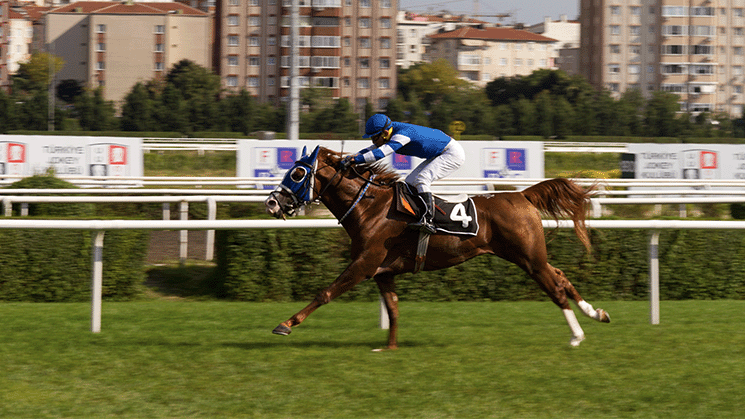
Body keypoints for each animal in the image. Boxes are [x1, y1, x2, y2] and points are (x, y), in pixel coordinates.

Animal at [264, 146, 610, 349]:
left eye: (298, 173)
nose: (271, 202)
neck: (370, 207)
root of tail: (522, 195)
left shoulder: (364, 264)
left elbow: (325, 292)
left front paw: (285, 324)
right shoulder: (383, 271)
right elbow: (393, 309)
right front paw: (389, 347)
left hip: (528, 258)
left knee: (555, 288)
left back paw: (577, 335)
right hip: (529, 255)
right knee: (561, 275)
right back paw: (597, 313)